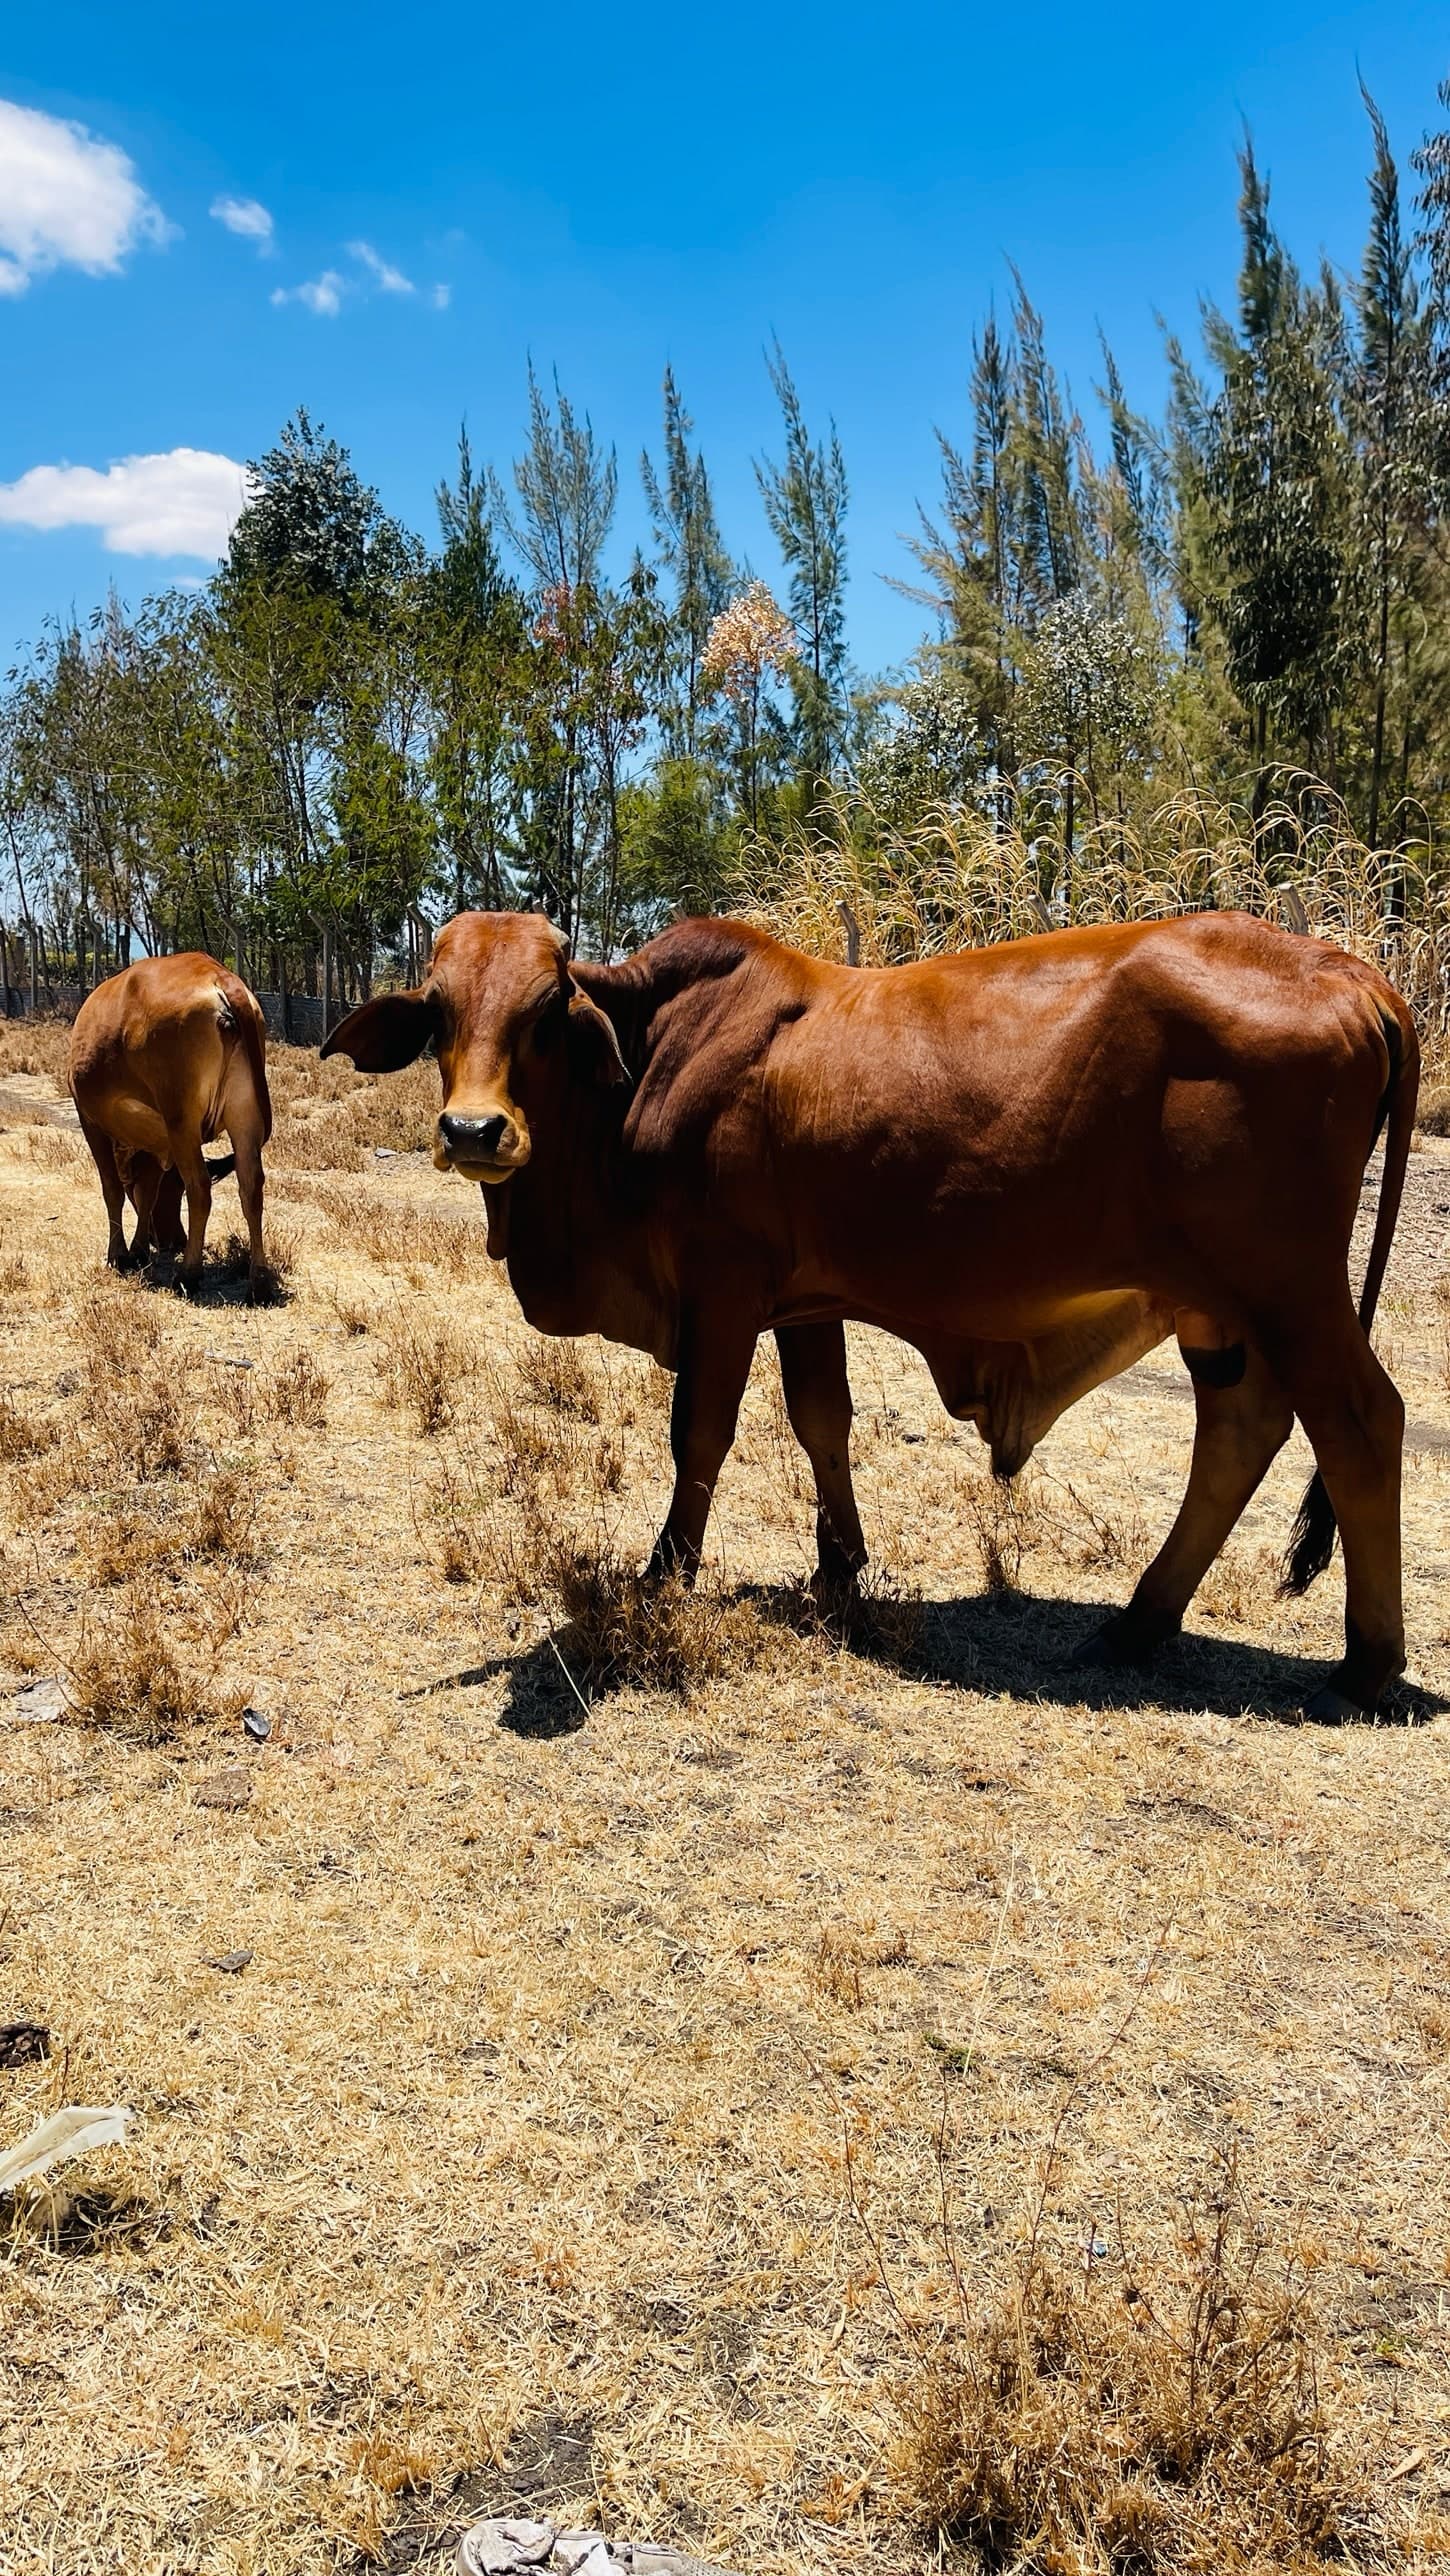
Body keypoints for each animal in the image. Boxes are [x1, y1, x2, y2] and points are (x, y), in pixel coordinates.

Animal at [69, 954, 273, 1298]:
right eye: (171, 1189)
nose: (174, 1240)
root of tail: (218, 975)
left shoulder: (90, 1120)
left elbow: (113, 1189)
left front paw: (119, 1254)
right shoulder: (156, 1140)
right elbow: (147, 1193)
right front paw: (138, 1250)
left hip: (182, 1119)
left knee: (200, 1188)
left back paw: (188, 1273)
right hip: (244, 1117)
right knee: (251, 1187)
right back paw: (258, 1281)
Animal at [321, 907, 1419, 1718]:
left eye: (549, 1009)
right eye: (439, 1009)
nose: (473, 1130)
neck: (647, 1058)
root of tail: (1352, 974)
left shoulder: (724, 1286)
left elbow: (700, 1434)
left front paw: (666, 1572)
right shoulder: (805, 1300)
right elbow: (823, 1422)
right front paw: (838, 1566)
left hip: (1288, 1289)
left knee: (1360, 1425)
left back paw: (1363, 1663)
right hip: (1216, 1307)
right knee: (1241, 1429)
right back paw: (1138, 1623)